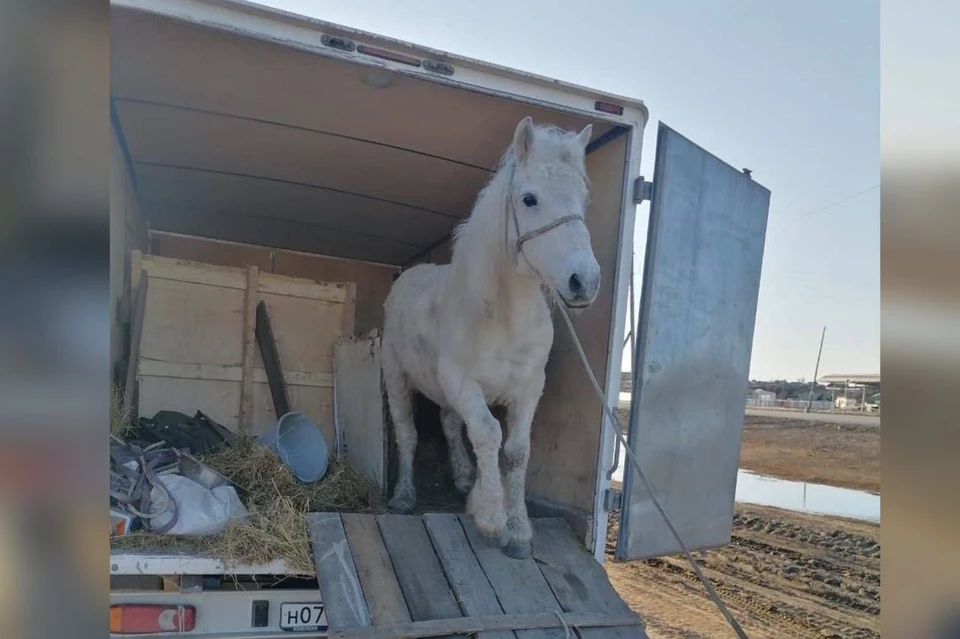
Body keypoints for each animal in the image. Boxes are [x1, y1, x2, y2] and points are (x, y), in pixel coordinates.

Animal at [382, 117, 600, 556]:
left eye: (582, 200)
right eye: (529, 199)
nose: (584, 281)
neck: (503, 320)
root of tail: (405, 278)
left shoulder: (530, 388)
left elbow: (515, 452)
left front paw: (518, 530)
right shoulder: (464, 385)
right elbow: (487, 434)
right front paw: (491, 519)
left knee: (450, 424)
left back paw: (465, 476)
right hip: (397, 381)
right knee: (409, 435)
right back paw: (404, 497)